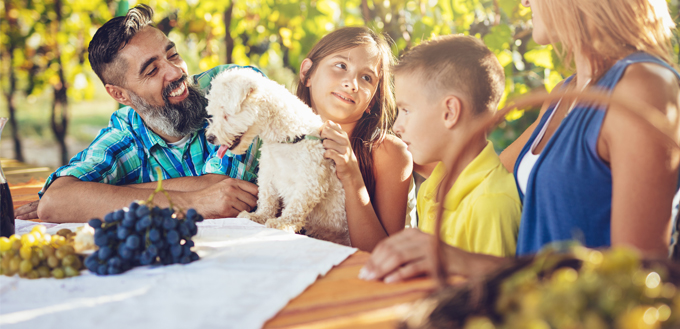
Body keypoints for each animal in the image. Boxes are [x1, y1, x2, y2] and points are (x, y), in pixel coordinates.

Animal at [205, 68, 348, 245]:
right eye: (213, 114)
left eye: (226, 114)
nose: (209, 138)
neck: (286, 137)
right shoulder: (269, 173)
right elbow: (267, 198)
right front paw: (258, 216)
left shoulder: (311, 180)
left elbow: (297, 205)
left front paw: (283, 223)